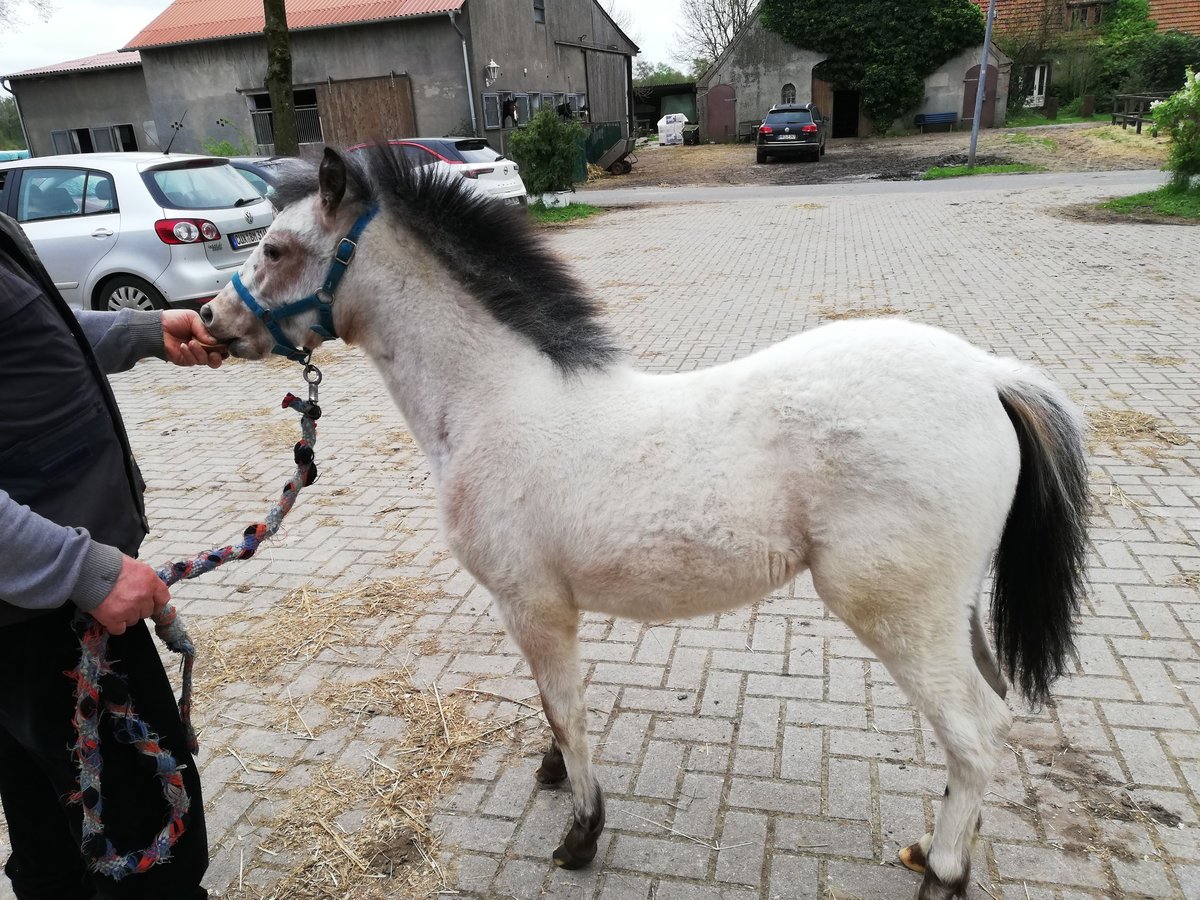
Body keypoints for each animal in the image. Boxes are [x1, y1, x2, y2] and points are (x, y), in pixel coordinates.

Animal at [201, 148, 1094, 900]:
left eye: (276, 249)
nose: (210, 322)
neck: (493, 401)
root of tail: (988, 375)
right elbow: (551, 707)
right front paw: (554, 776)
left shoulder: (533, 606)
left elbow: (566, 707)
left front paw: (582, 833)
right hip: (952, 610)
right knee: (988, 712)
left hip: (896, 610)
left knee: (975, 731)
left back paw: (943, 869)